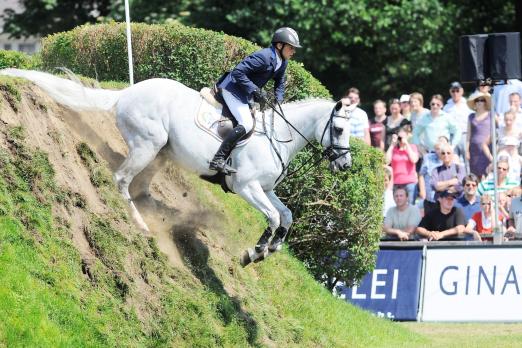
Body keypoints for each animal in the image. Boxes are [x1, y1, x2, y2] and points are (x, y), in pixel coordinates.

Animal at [2, 69, 352, 256]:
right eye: (338, 129)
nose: (345, 165)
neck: (277, 136)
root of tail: (127, 93)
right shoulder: (246, 187)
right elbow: (274, 217)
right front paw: (255, 252)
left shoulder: (265, 189)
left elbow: (286, 215)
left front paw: (273, 247)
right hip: (148, 143)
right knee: (122, 180)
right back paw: (141, 225)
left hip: (161, 152)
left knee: (139, 186)